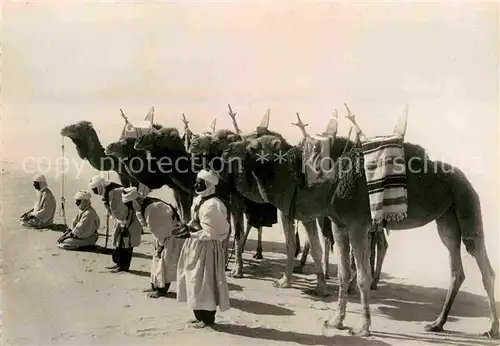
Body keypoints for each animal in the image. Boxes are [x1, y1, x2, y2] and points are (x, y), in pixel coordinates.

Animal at [224, 125, 500, 338]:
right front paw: (337, 321)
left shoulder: (358, 225)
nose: (228, 150)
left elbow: (362, 276)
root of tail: (465, 179)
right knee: (456, 268)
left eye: (253, 145)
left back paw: (491, 328)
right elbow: (344, 273)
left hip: (468, 206)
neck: (329, 182)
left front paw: (364, 327)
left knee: (485, 268)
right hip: (446, 219)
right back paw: (437, 324)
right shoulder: (339, 224)